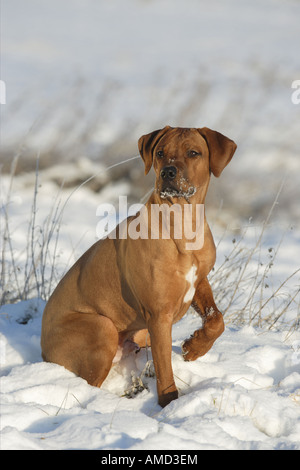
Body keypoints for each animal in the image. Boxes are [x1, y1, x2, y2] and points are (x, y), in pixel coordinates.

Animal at [41, 126, 237, 408]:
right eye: (160, 153)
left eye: (193, 152)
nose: (168, 172)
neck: (182, 224)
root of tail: (43, 350)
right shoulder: (158, 316)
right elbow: (165, 370)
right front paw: (169, 405)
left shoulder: (198, 281)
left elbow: (216, 319)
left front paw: (194, 347)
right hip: (102, 327)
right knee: (89, 383)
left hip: (138, 333)